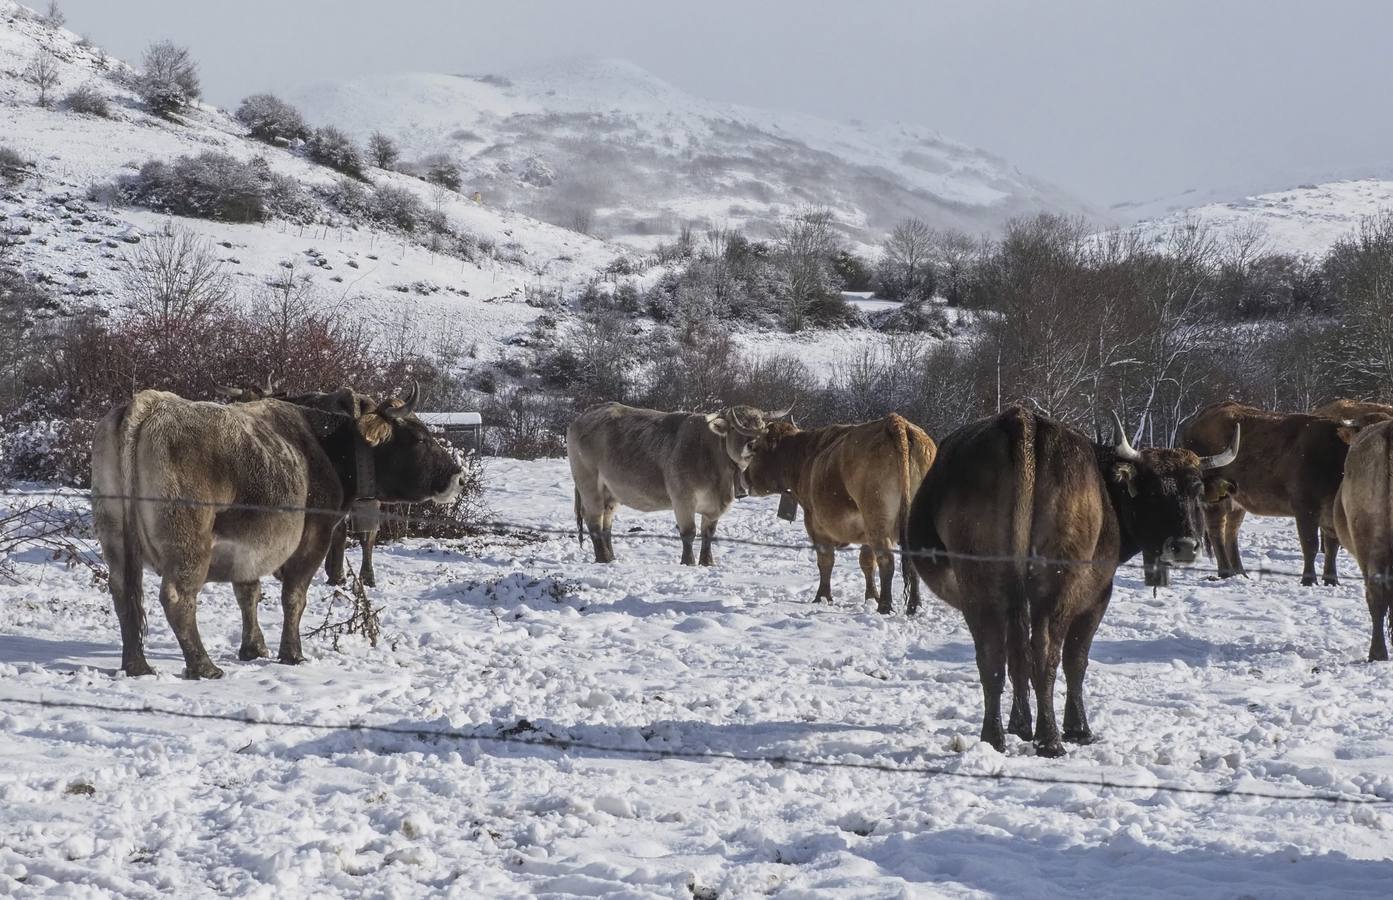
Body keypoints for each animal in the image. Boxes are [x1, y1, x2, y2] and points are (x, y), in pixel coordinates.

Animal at [91, 384, 462, 679]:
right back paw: (203, 666)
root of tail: (147, 405)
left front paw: (253, 647)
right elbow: (294, 597)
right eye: (420, 437)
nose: (456, 473)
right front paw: (292, 652)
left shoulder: (249, 544)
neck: (325, 446)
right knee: (177, 598)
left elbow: (248, 593)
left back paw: (136, 665)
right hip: (188, 543)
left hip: (116, 538)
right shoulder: (313, 538)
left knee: (124, 593)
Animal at [741, 415, 936, 613]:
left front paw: (822, 597)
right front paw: (871, 596)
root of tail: (895, 421)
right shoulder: (864, 533)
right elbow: (867, 562)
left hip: (877, 521)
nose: (744, 476)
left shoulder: (816, 526)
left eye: (755, 449)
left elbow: (825, 561)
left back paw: (885, 606)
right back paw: (914, 606)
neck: (805, 458)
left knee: (886, 560)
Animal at [908, 409, 1236, 763]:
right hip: (1054, 589)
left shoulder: (1015, 603)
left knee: (993, 657)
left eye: (1196, 491)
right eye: (1151, 492)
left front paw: (1020, 725)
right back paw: (1050, 739)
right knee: (1046, 656)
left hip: (982, 586)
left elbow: (1017, 656)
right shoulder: (1096, 597)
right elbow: (1075, 660)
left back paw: (994, 737)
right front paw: (1078, 729)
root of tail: (1022, 422)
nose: (1184, 545)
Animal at [1181, 401, 1353, 585]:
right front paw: (1309, 580)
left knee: (1231, 532)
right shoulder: (1305, 506)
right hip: (1214, 497)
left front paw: (1332, 580)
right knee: (1216, 532)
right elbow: (1310, 544)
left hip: (1236, 500)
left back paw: (1240, 573)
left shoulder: (1331, 514)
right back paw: (1226, 572)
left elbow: (1332, 547)